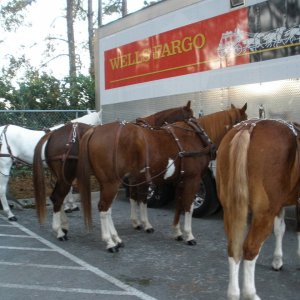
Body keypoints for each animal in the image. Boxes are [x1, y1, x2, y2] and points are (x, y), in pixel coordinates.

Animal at [32, 102, 192, 240]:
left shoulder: (133, 178)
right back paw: (60, 231)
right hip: (67, 176)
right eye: (190, 117)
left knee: (56, 198)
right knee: (58, 197)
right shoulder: (141, 179)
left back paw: (63, 226)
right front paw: (146, 224)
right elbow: (142, 199)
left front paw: (136, 222)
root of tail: (52, 134)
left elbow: (133, 198)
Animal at [76, 104, 247, 252]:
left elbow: (178, 205)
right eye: (245, 121)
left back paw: (116, 238)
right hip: (112, 182)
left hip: (107, 183)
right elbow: (188, 207)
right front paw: (189, 235)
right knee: (104, 208)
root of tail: (95, 131)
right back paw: (110, 242)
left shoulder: (180, 180)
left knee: (108, 209)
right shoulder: (192, 180)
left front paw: (177, 232)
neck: (194, 137)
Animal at [216, 118, 300, 298]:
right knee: (250, 248)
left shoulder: (279, 205)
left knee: (234, 247)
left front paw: (277, 260)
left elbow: (280, 228)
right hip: (263, 213)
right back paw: (250, 293)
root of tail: (248, 127)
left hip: (230, 210)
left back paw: (233, 293)